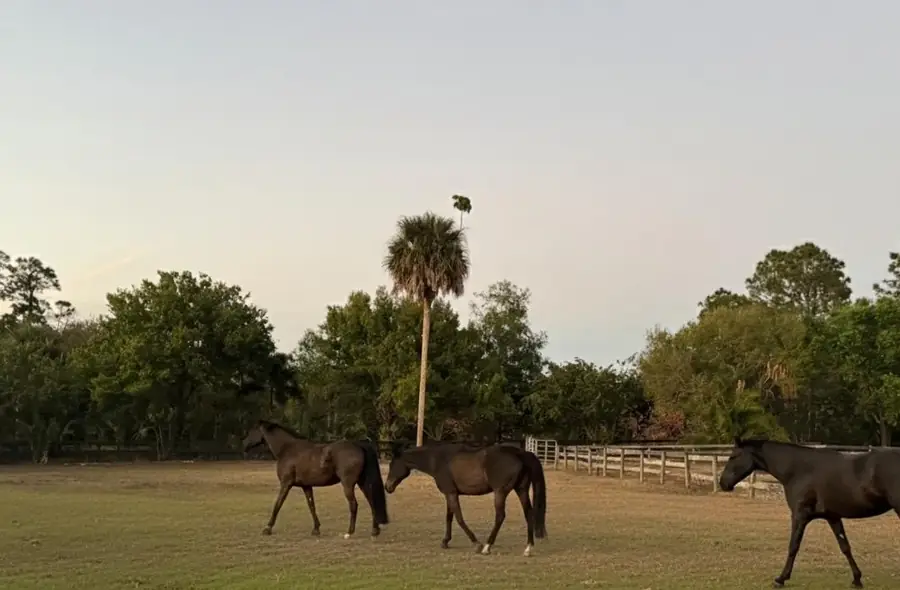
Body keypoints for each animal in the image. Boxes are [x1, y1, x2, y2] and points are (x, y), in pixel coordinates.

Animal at [242, 420, 389, 539]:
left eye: (252, 431)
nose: (244, 445)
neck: (287, 449)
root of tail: (359, 445)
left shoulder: (286, 484)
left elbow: (278, 504)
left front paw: (267, 528)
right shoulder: (306, 486)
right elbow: (311, 505)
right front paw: (316, 529)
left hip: (348, 484)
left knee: (354, 505)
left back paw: (349, 533)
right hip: (362, 482)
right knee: (372, 502)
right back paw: (374, 531)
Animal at [384, 442, 547, 557]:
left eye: (392, 464)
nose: (387, 487)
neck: (437, 460)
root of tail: (521, 453)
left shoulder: (451, 494)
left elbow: (459, 518)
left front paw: (476, 544)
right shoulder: (451, 494)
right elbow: (449, 517)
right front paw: (445, 541)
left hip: (500, 493)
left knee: (500, 516)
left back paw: (487, 547)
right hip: (521, 490)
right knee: (529, 514)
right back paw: (528, 549)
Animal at [719, 437, 900, 588]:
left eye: (733, 456)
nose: (723, 484)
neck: (798, 470)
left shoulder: (800, 515)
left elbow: (793, 546)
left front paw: (781, 579)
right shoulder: (833, 517)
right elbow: (845, 547)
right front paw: (857, 579)